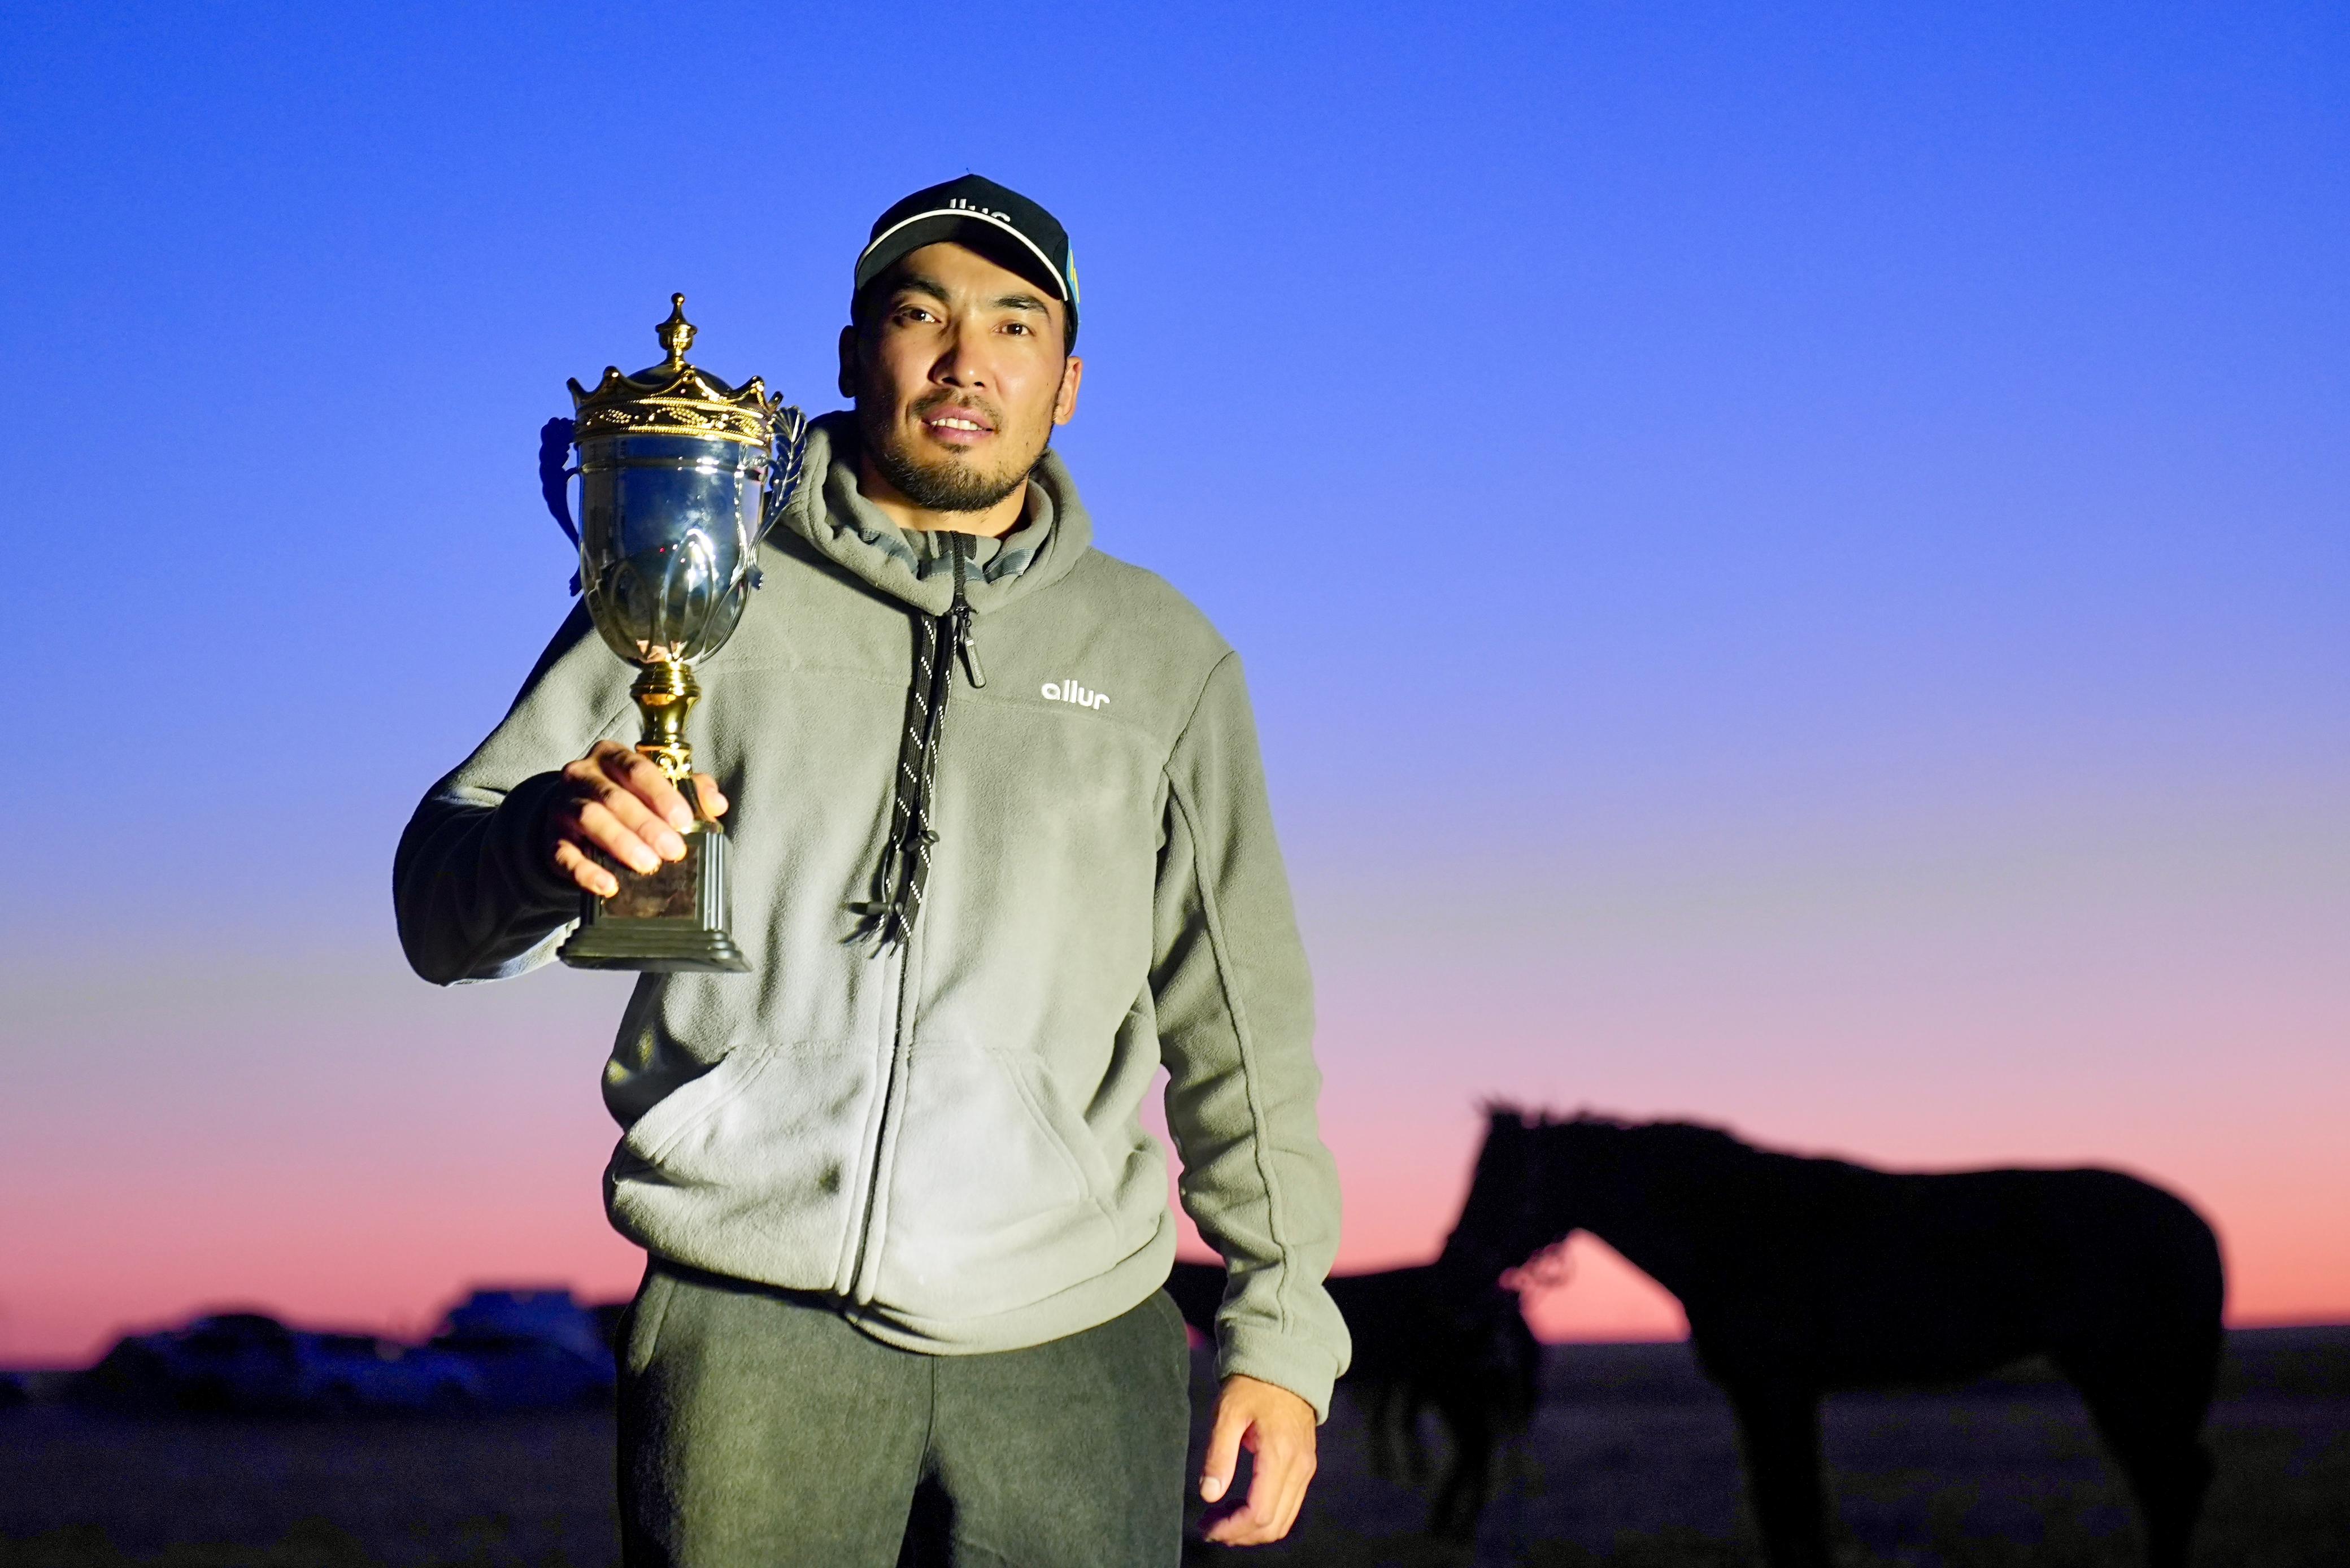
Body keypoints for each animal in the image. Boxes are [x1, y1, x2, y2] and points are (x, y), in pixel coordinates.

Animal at [1437, 1107, 2223, 1568]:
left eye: (1500, 1181)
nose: (1451, 1269)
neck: (1733, 1229)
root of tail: (2195, 1224)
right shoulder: (1769, 1395)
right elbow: (1784, 1506)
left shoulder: (1777, 1389)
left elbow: (1791, 1506)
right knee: (2168, 1483)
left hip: (2123, 1379)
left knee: (2170, 1482)